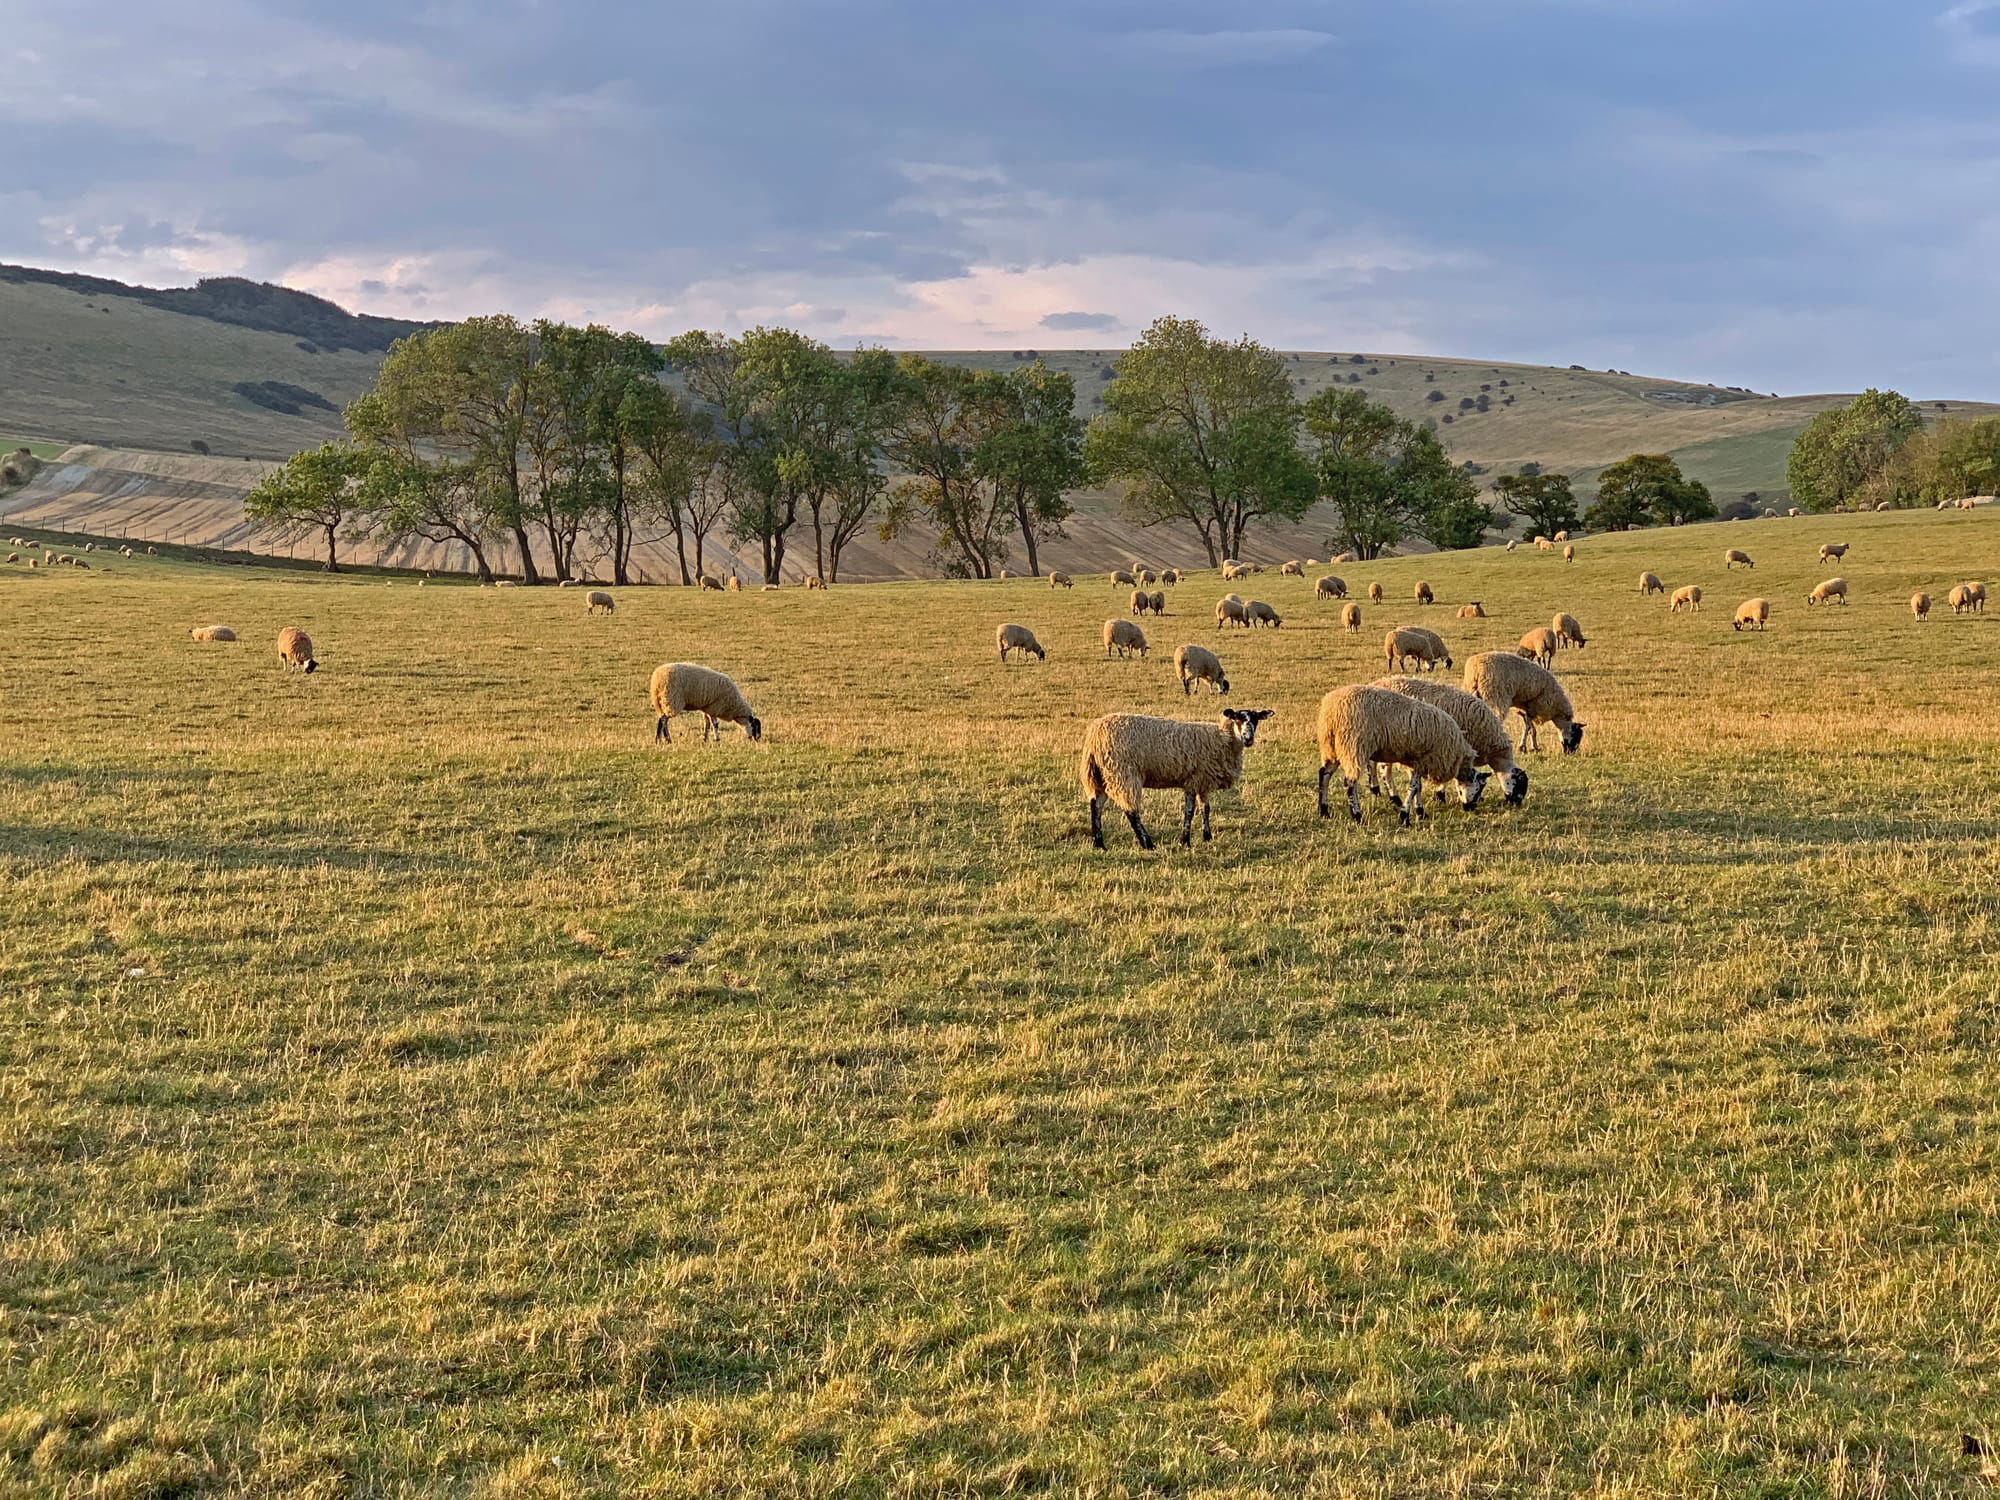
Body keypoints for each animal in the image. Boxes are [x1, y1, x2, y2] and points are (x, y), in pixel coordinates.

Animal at [1088, 712, 1272, 852]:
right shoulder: (1193, 780)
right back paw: (1147, 844)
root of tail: (1094, 736)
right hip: (1123, 772)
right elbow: (1189, 811)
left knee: (1096, 805)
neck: (1221, 739)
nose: (1248, 739)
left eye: (1256, 719)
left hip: (1103, 775)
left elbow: (1206, 808)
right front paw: (1185, 841)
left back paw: (1099, 844)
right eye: (1237, 719)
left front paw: (1207, 836)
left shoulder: (1203, 781)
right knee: (1131, 811)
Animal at [1312, 688, 1488, 828]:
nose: (1471, 808)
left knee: (1324, 774)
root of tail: (1330, 711)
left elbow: (1417, 787)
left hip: (1332, 748)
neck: (1457, 755)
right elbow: (1414, 788)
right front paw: (1405, 817)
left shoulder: (1415, 762)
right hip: (1354, 745)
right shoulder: (1424, 760)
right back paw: (1357, 816)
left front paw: (1420, 812)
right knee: (1350, 783)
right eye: (1479, 788)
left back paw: (1324, 810)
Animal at [1376, 676, 1528, 804]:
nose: (1516, 804)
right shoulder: (1451, 749)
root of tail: (1378, 682)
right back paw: (1392, 796)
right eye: (1519, 784)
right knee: (1385, 770)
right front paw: (1440, 795)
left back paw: (1376, 789)